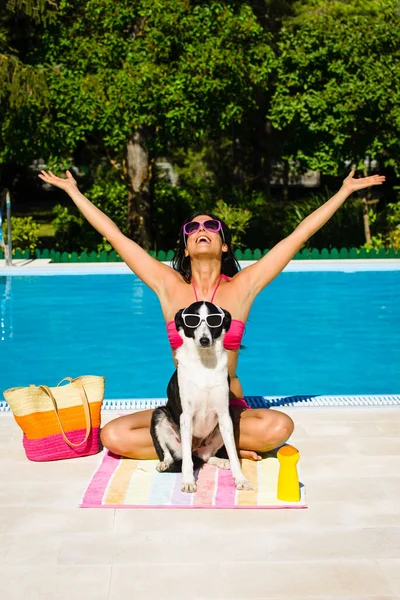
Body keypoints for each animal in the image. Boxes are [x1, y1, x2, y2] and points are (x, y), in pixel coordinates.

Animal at [148, 300, 252, 492]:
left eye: (214, 320)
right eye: (192, 320)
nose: (204, 340)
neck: (204, 362)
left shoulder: (224, 415)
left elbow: (234, 454)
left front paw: (240, 479)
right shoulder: (186, 416)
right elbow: (187, 462)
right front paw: (188, 481)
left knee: (205, 455)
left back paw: (221, 461)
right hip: (160, 415)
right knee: (173, 454)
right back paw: (165, 463)